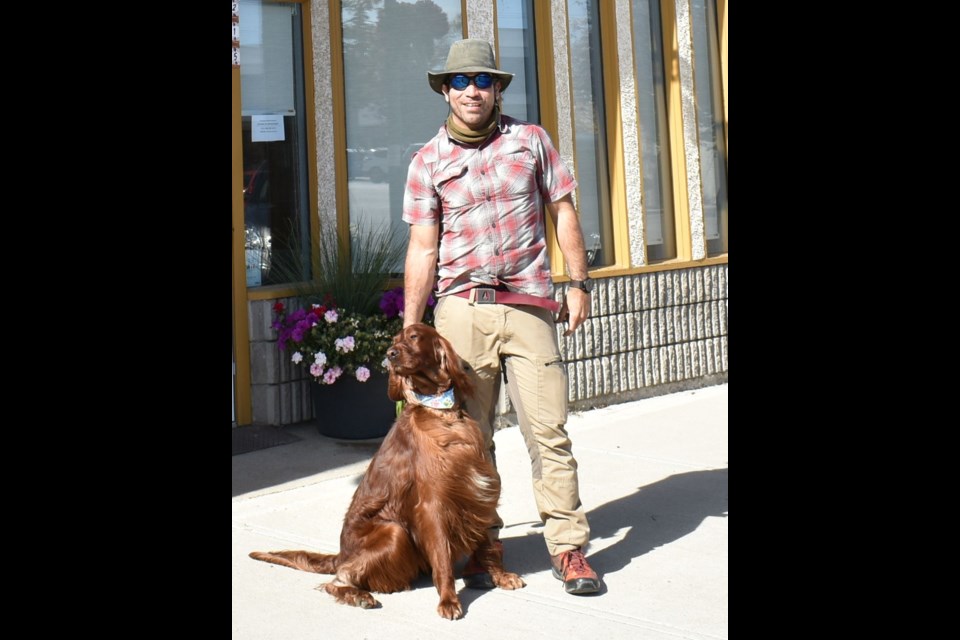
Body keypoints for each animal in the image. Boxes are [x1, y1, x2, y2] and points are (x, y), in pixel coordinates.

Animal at [246, 322, 516, 616]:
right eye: (393, 340)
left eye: (414, 336)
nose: (390, 354)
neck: (440, 411)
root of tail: (342, 554)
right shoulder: (433, 502)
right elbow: (443, 559)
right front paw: (448, 600)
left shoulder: (476, 488)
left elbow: (485, 540)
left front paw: (499, 575)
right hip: (393, 531)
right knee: (337, 580)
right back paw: (358, 595)